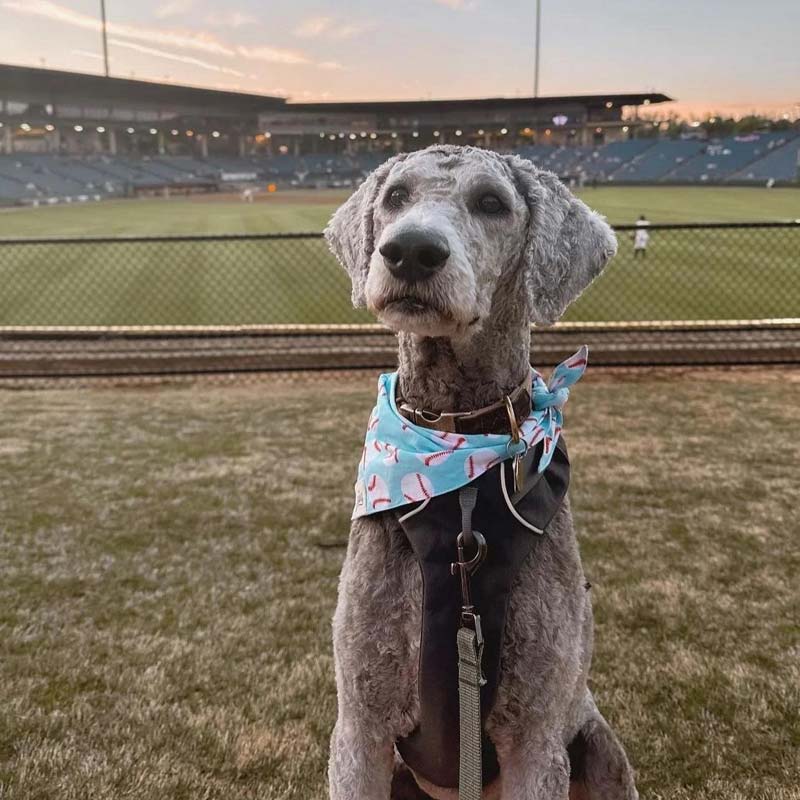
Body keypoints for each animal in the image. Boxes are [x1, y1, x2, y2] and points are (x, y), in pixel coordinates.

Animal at [324, 145, 636, 800]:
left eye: (492, 202)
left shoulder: (535, 739)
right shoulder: (360, 727)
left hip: (599, 747)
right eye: (395, 196)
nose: (410, 250)